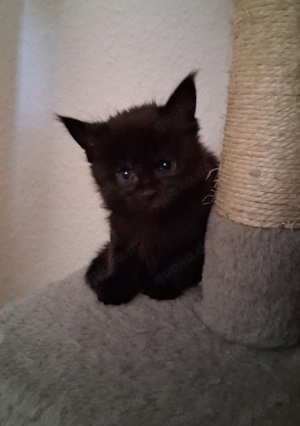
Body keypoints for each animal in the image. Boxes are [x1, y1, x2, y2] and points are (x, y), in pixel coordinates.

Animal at [58, 74, 218, 306]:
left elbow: (180, 260)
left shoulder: (196, 233)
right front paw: (114, 286)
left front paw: (162, 284)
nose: (148, 192)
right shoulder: (121, 232)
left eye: (166, 166)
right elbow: (120, 258)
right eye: (125, 174)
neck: (153, 221)